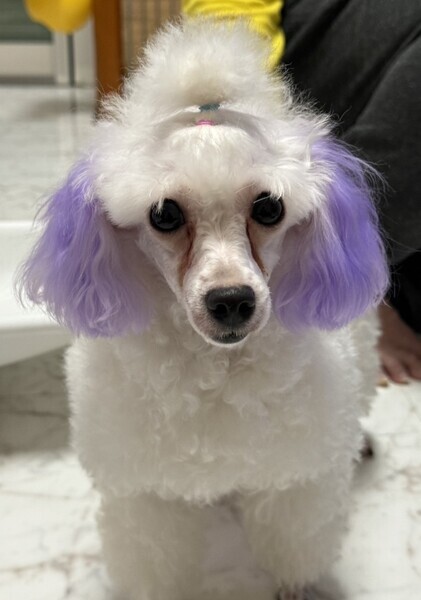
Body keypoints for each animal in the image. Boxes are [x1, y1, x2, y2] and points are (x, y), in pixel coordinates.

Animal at [19, 18, 388, 600]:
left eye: (269, 208)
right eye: (165, 214)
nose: (231, 301)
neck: (215, 370)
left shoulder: (298, 479)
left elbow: (297, 539)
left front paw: (298, 587)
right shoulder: (145, 492)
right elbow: (153, 556)